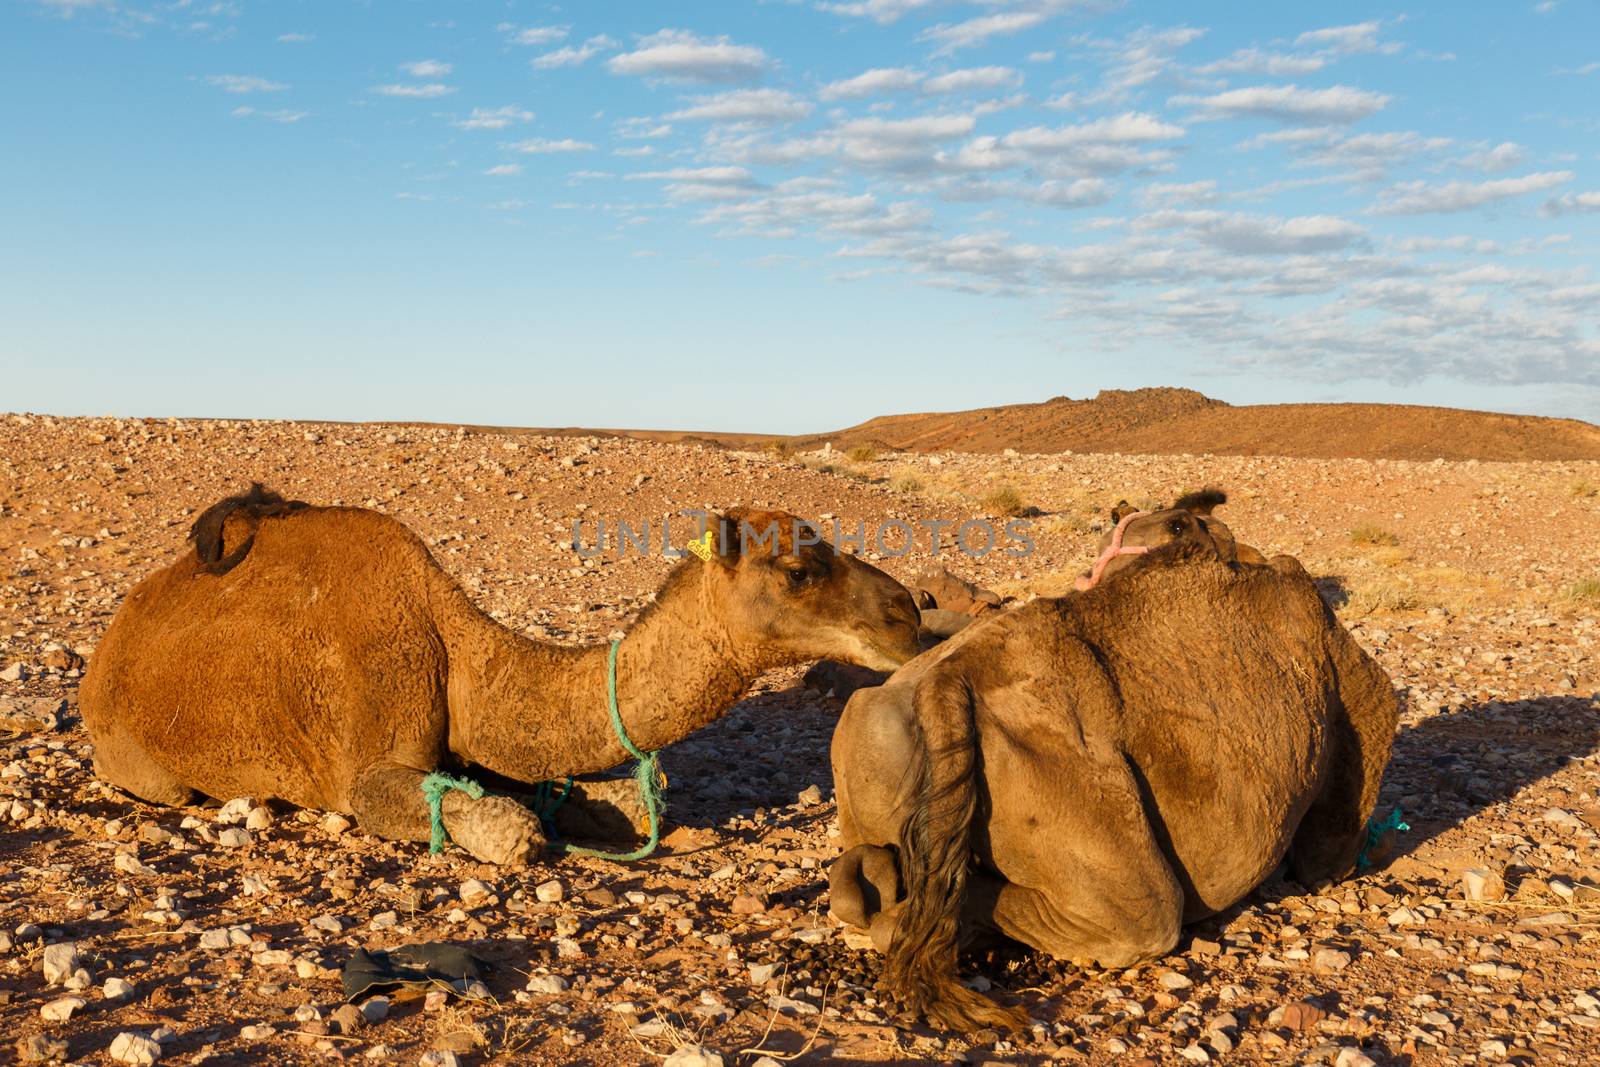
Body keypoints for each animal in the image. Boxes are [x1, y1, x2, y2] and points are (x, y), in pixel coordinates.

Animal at [78, 489, 928, 863]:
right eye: (797, 571)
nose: (906, 612)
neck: (461, 657)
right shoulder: (365, 764)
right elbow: (511, 827)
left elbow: (622, 790)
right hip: (141, 763)